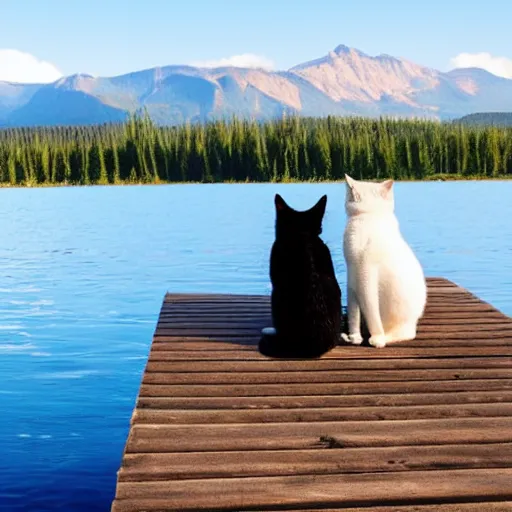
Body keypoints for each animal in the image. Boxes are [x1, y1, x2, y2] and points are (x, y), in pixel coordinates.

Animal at [342, 173, 426, 348]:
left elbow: (371, 309)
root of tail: (412, 325)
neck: (369, 216)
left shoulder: (367, 272)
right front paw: (354, 337)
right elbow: (353, 313)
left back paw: (382, 338)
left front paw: (377, 338)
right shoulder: (351, 273)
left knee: (403, 335)